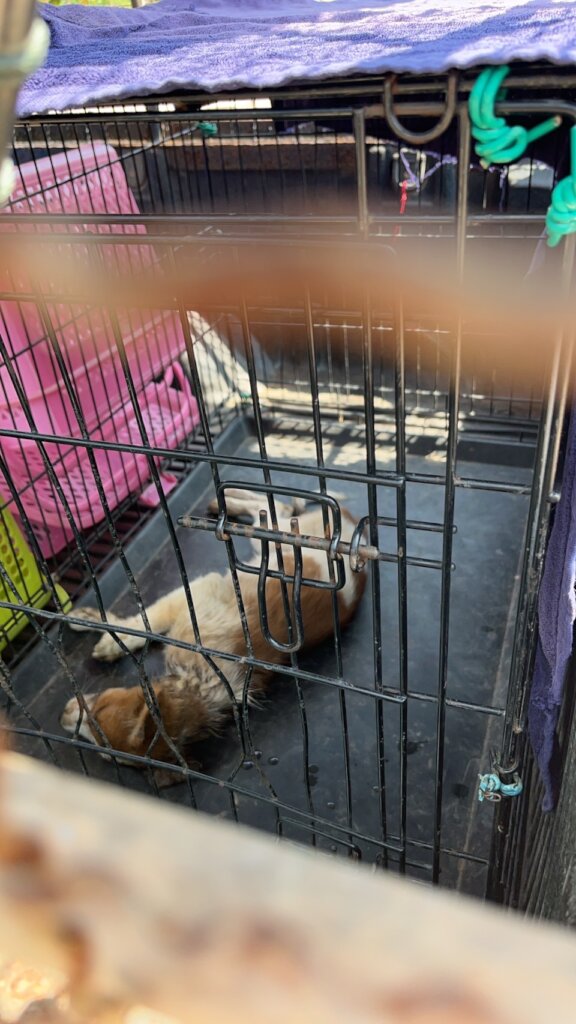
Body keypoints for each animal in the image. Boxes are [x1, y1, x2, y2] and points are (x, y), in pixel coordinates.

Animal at [60, 489, 365, 768]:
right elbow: (146, 624)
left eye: (98, 710)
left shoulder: (192, 597)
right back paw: (225, 503)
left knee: (277, 507)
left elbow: (146, 621)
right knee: (276, 506)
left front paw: (110, 635)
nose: (63, 717)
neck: (200, 684)